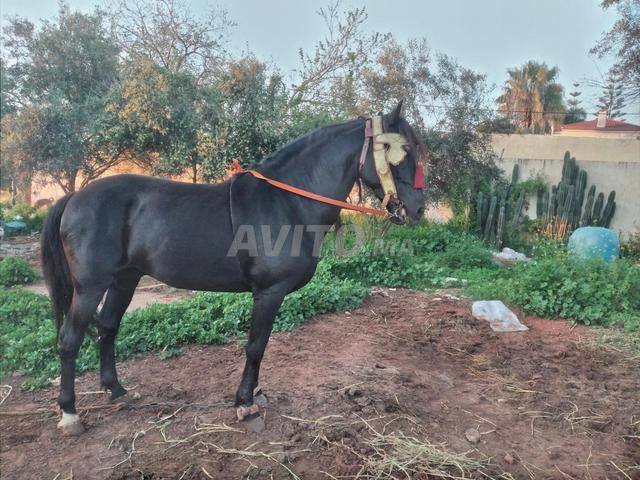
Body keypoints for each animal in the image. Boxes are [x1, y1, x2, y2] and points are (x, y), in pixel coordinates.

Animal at [41, 102, 426, 435]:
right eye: (401, 150)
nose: (417, 209)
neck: (287, 202)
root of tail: (74, 199)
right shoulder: (269, 293)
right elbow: (256, 346)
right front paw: (245, 403)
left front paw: (253, 396)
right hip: (90, 287)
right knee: (70, 340)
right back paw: (70, 414)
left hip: (125, 280)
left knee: (108, 328)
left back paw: (117, 390)